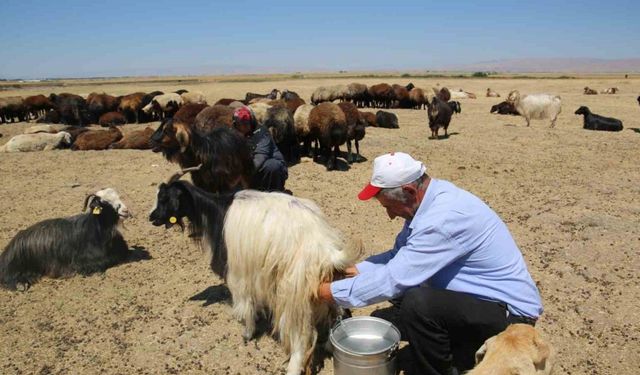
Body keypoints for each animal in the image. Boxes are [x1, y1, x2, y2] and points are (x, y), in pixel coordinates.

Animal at [149, 168, 360, 375]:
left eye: (165, 198)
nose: (151, 217)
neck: (217, 213)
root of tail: (325, 249)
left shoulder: (238, 272)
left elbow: (246, 304)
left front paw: (247, 333)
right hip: (328, 282)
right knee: (341, 309)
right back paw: (330, 345)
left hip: (293, 291)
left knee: (300, 335)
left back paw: (293, 367)